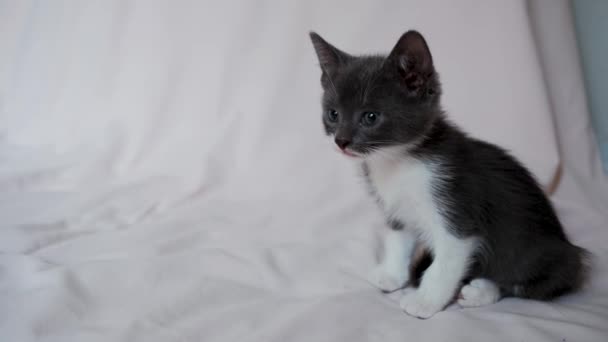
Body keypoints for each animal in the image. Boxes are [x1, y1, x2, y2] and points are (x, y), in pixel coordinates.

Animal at [308, 30, 588, 320]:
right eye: (333, 114)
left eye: (370, 117)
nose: (341, 141)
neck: (398, 160)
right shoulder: (396, 208)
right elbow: (398, 239)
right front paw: (392, 274)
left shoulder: (457, 205)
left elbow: (444, 263)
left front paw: (425, 301)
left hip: (546, 256)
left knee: (521, 281)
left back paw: (481, 290)